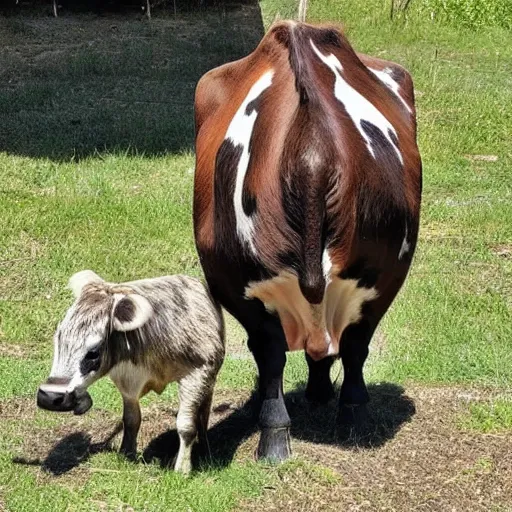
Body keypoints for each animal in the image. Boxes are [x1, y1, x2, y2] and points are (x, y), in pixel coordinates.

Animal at [194, 21, 422, 460]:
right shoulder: (241, 289)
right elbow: (271, 356)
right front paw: (275, 435)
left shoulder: (382, 282)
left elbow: (353, 347)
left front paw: (352, 416)